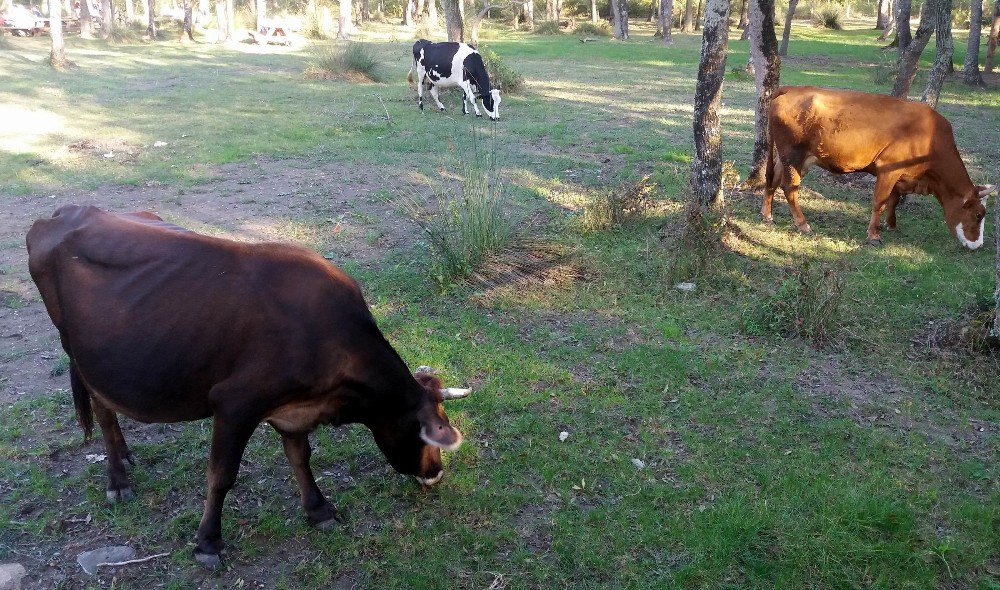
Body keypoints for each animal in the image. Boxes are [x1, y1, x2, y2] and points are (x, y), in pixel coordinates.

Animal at [26, 206, 472, 572]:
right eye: (426, 434)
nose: (435, 474)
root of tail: (65, 211)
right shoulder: (236, 404)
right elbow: (222, 475)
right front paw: (208, 543)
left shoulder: (294, 409)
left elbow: (300, 457)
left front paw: (319, 509)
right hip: (85, 357)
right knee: (103, 410)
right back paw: (117, 479)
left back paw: (125, 455)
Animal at [764, 85, 992, 247]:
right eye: (979, 215)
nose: (978, 245)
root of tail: (792, 88)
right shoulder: (888, 168)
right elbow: (880, 201)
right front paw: (873, 235)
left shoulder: (900, 175)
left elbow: (894, 200)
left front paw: (891, 224)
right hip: (794, 155)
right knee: (789, 187)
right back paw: (803, 224)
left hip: (788, 157)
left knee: (772, 180)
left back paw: (767, 216)